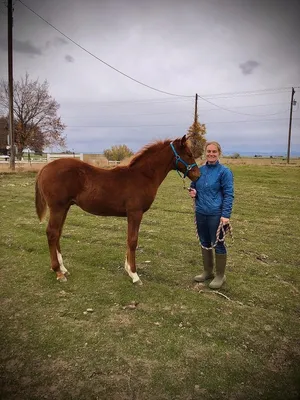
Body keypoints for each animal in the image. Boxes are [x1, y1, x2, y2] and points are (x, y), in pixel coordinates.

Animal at [34, 136, 199, 286]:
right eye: (189, 154)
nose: (198, 175)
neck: (143, 176)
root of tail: (45, 168)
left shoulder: (132, 215)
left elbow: (128, 239)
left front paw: (128, 269)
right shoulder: (135, 213)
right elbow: (132, 241)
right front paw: (134, 275)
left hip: (65, 208)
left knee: (57, 233)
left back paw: (63, 268)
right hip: (58, 208)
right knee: (52, 233)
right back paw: (58, 272)